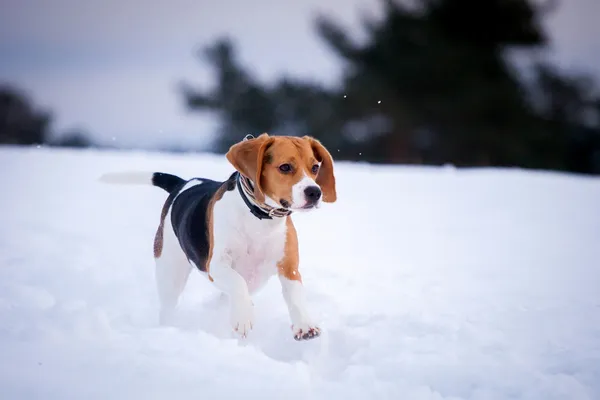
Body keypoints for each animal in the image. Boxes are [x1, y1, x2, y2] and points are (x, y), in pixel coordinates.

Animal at [99, 133, 338, 340]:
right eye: (285, 167)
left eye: (315, 167)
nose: (315, 192)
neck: (259, 218)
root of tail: (182, 183)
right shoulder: (216, 265)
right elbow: (237, 283)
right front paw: (243, 317)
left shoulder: (289, 266)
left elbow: (296, 296)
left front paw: (304, 325)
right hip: (170, 272)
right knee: (168, 307)